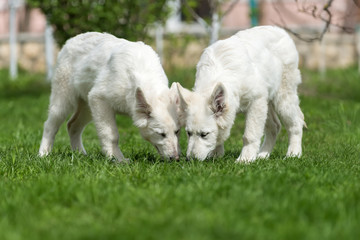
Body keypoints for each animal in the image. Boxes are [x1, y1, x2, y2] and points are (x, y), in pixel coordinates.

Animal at [39, 31, 180, 162]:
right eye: (161, 134)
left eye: (177, 131)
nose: (176, 159)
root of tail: (72, 39)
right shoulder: (100, 100)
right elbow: (111, 135)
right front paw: (117, 159)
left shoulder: (96, 102)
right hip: (63, 101)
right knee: (50, 125)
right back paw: (43, 154)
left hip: (88, 107)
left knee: (72, 125)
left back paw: (80, 154)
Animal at [176, 25, 306, 162]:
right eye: (189, 133)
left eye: (204, 134)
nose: (190, 160)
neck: (216, 76)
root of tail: (280, 30)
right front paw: (216, 154)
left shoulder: (256, 101)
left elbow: (250, 134)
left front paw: (245, 159)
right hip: (266, 103)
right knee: (275, 126)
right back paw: (263, 155)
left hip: (282, 99)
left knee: (296, 123)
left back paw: (293, 154)